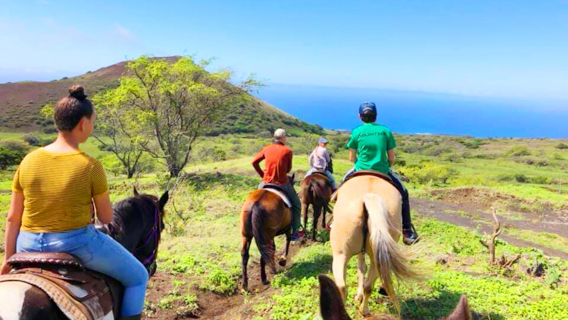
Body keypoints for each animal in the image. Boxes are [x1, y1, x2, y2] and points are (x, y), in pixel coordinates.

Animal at [330, 175, 420, 316]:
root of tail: (369, 197)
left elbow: (361, 269)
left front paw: (358, 296)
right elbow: (362, 269)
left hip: (341, 254)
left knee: (345, 286)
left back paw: (362, 309)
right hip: (370, 256)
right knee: (358, 285)